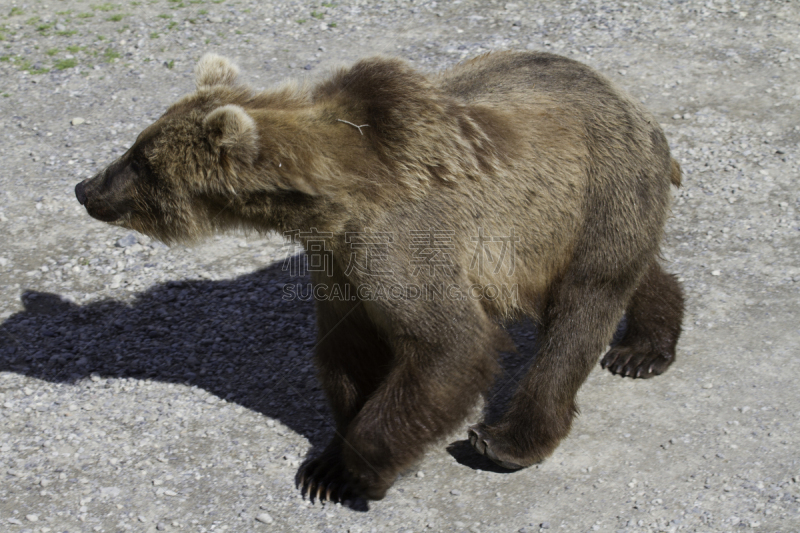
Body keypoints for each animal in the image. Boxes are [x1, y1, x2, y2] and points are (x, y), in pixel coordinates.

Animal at [75, 51, 684, 502]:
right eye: (135, 145)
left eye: (143, 161)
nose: (86, 187)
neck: (330, 203)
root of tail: (634, 104)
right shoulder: (336, 260)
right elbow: (348, 348)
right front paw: (326, 465)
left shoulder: (398, 240)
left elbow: (449, 343)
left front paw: (358, 472)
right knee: (634, 270)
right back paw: (643, 347)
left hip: (598, 186)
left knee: (582, 308)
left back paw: (508, 440)